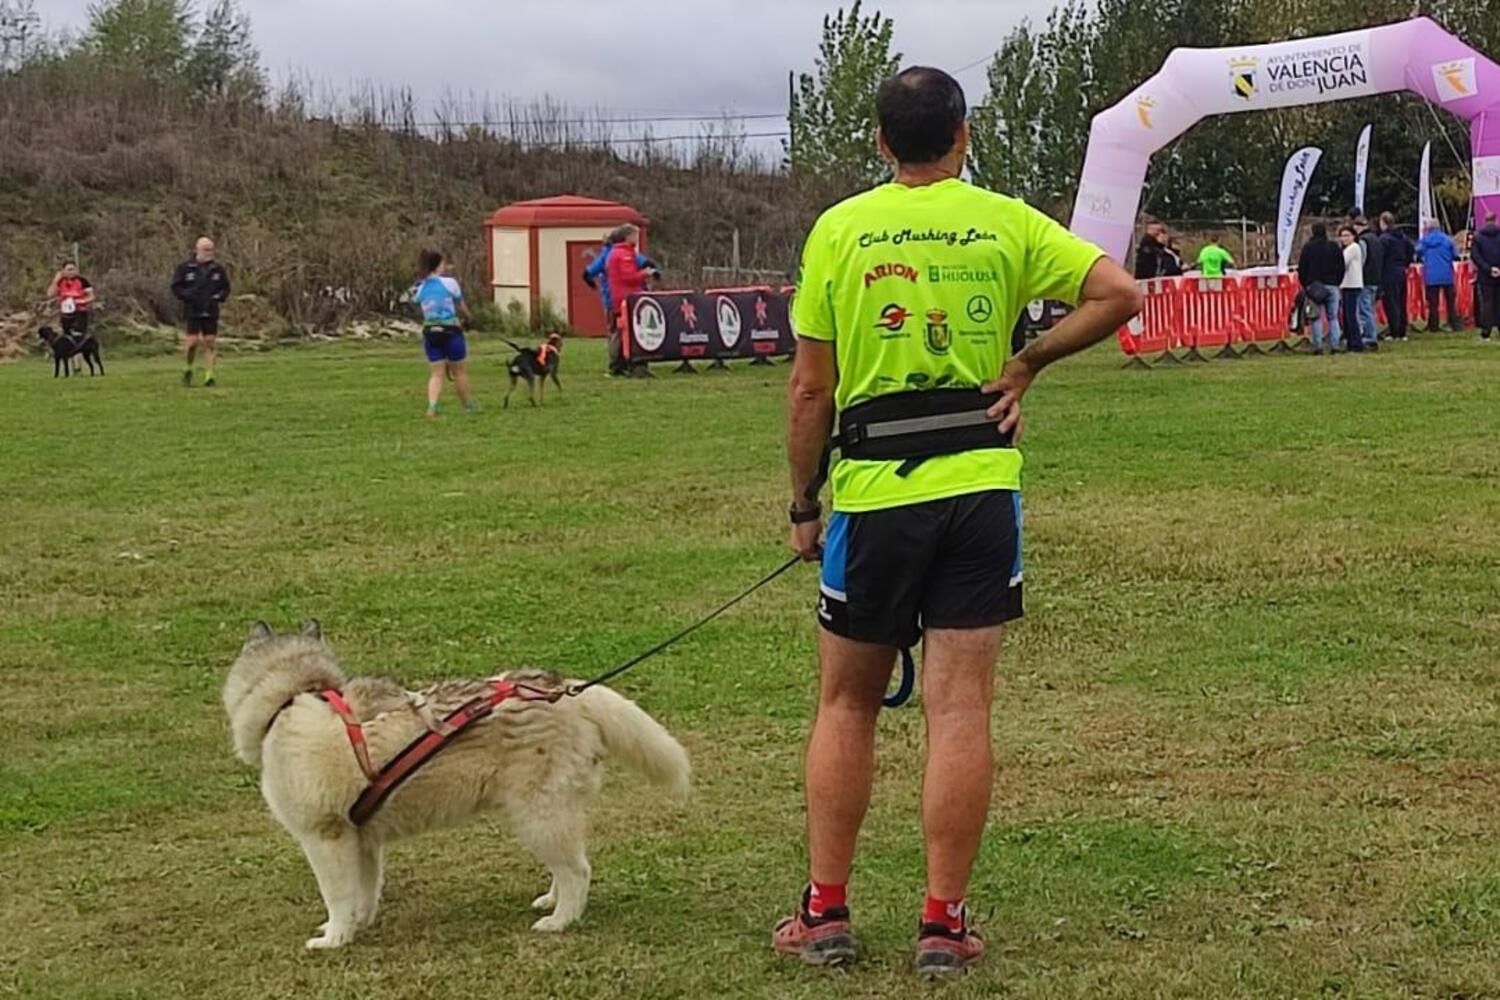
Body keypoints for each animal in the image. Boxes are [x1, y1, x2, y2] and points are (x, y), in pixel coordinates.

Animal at [222, 620, 690, 953]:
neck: (289, 700)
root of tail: (567, 691)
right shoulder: (364, 840)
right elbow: (364, 892)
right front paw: (358, 925)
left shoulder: (326, 837)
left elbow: (336, 895)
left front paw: (334, 938)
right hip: (550, 815)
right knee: (570, 864)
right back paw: (551, 901)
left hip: (537, 816)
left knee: (579, 870)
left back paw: (560, 921)